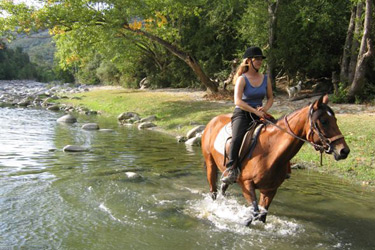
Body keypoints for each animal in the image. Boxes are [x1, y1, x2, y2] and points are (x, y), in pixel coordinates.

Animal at [201, 94, 352, 226]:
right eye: (324, 121)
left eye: (335, 120)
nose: (344, 151)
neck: (270, 151)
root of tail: (212, 121)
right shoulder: (246, 184)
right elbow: (254, 212)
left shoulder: (270, 189)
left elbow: (261, 215)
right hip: (210, 164)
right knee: (213, 191)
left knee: (223, 187)